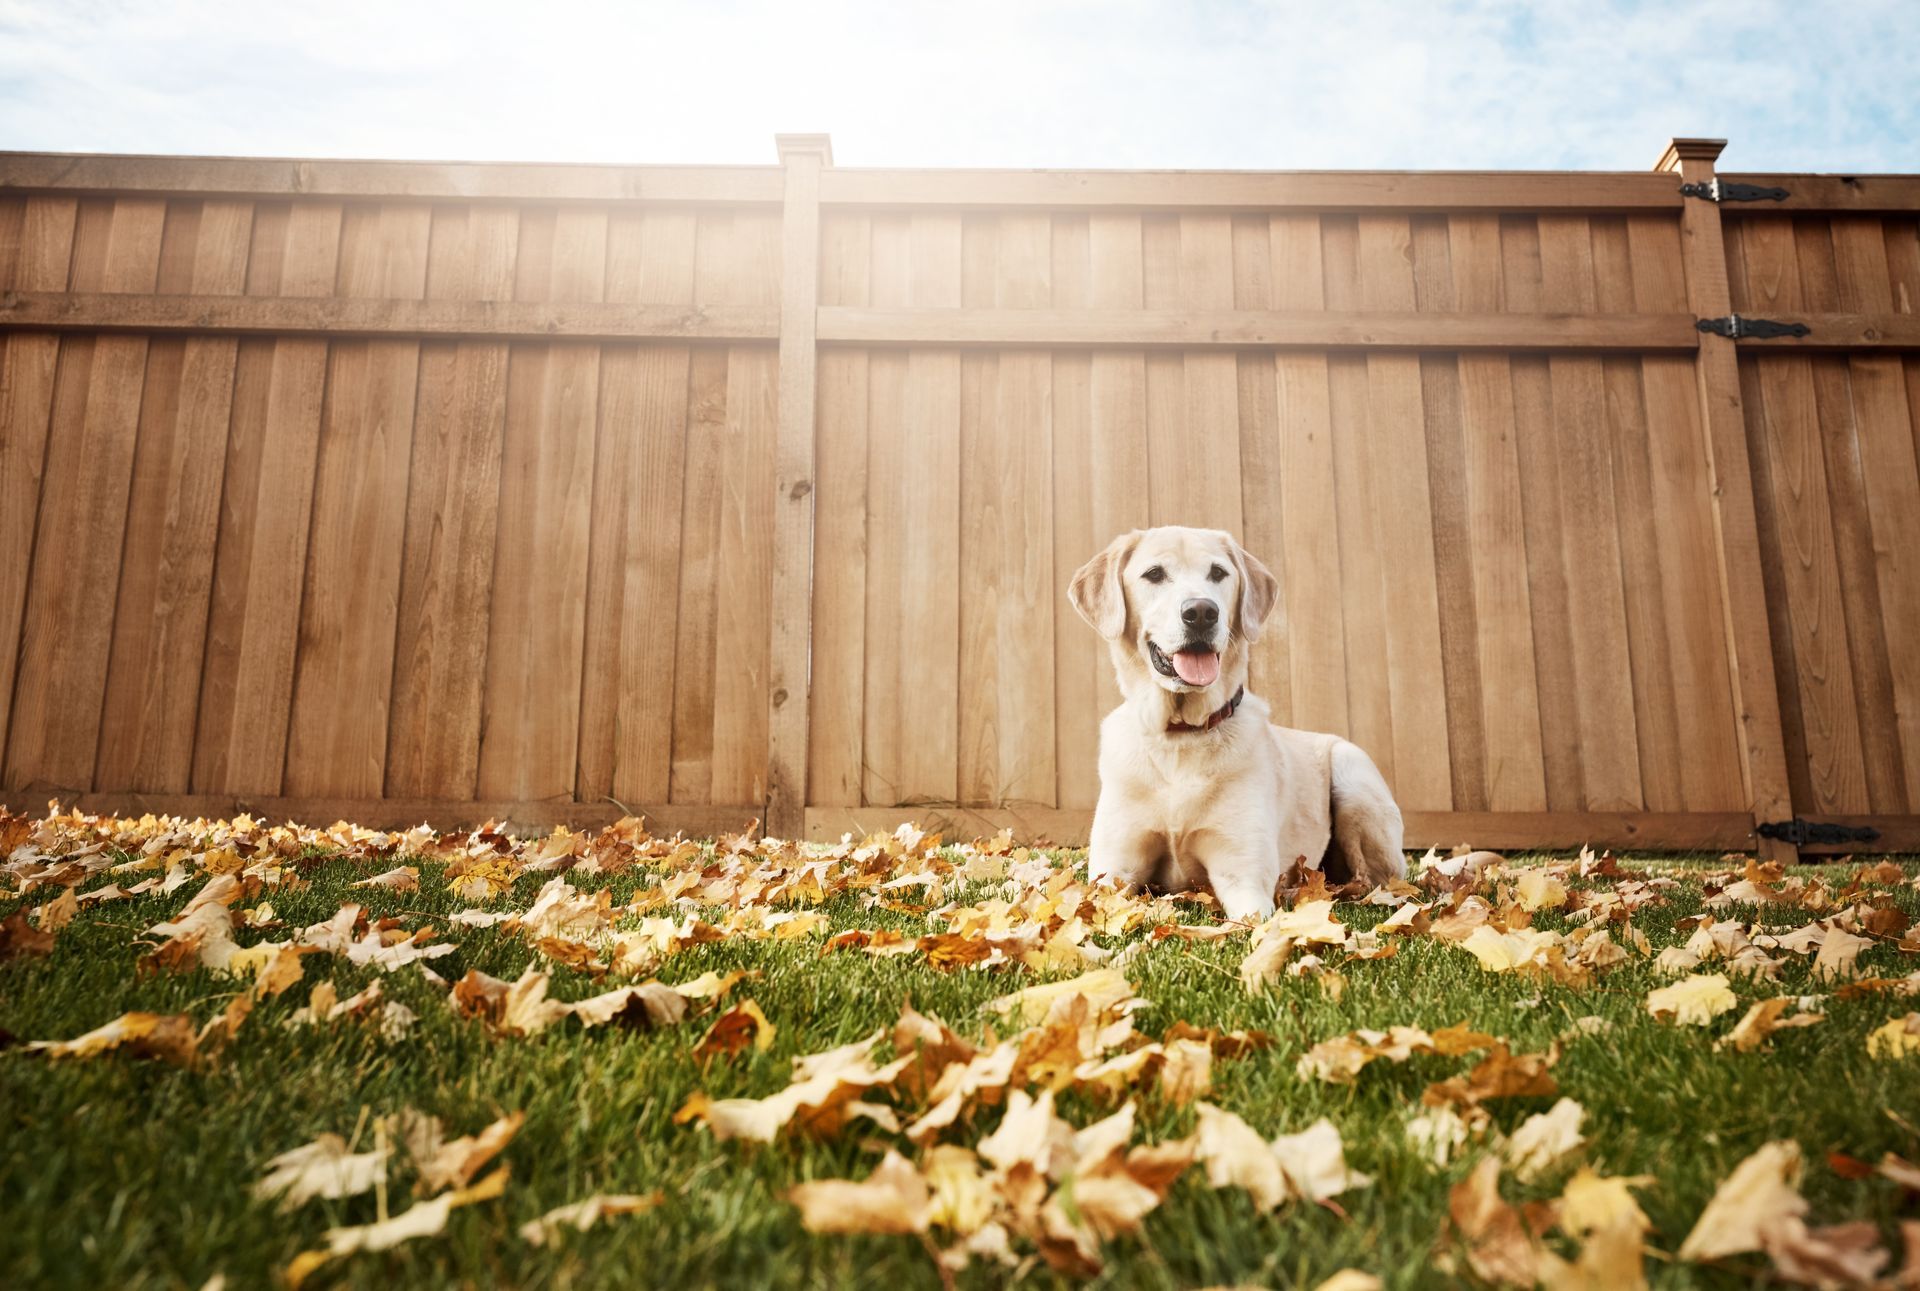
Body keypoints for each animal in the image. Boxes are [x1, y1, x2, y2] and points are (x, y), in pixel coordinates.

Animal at [1067, 522, 1413, 918]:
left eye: (1218, 573)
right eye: (1154, 574)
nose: (1202, 611)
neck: (1180, 736)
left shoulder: (1243, 878)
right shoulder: (1111, 876)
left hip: (1353, 774)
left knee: (1376, 884)